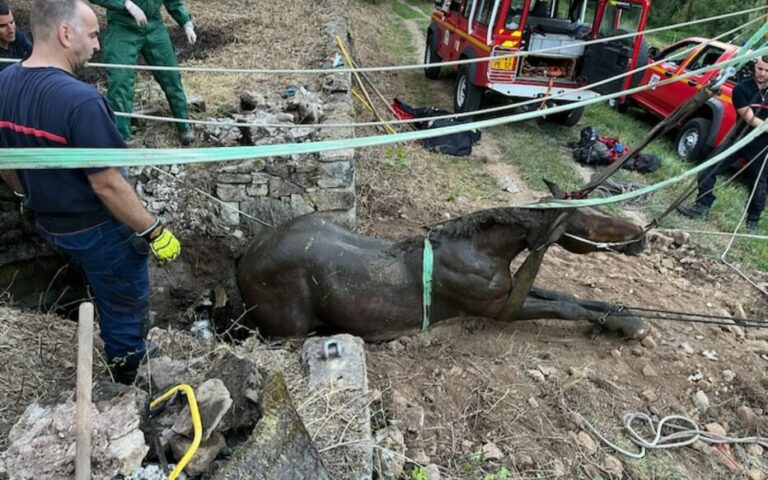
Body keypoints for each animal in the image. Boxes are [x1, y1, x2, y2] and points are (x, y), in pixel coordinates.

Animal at [234, 202, 648, 342]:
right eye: (591, 218)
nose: (641, 236)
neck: (480, 250)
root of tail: (247, 254)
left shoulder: (511, 290)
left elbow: (570, 297)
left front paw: (625, 318)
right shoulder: (500, 309)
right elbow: (567, 308)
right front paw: (630, 326)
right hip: (289, 333)